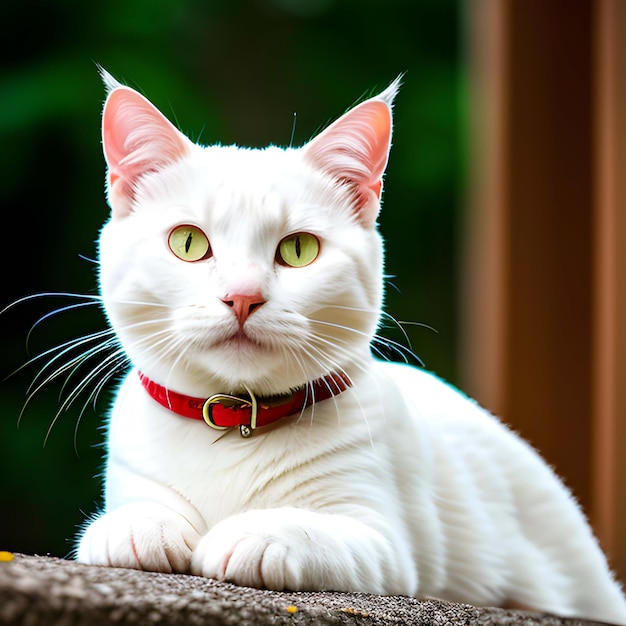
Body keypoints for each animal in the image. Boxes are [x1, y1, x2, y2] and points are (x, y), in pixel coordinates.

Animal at [77, 72, 624, 620]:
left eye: (299, 250)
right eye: (188, 243)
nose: (243, 297)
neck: (236, 429)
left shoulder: (383, 542)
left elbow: (308, 530)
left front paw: (253, 533)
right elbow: (131, 516)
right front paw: (139, 526)